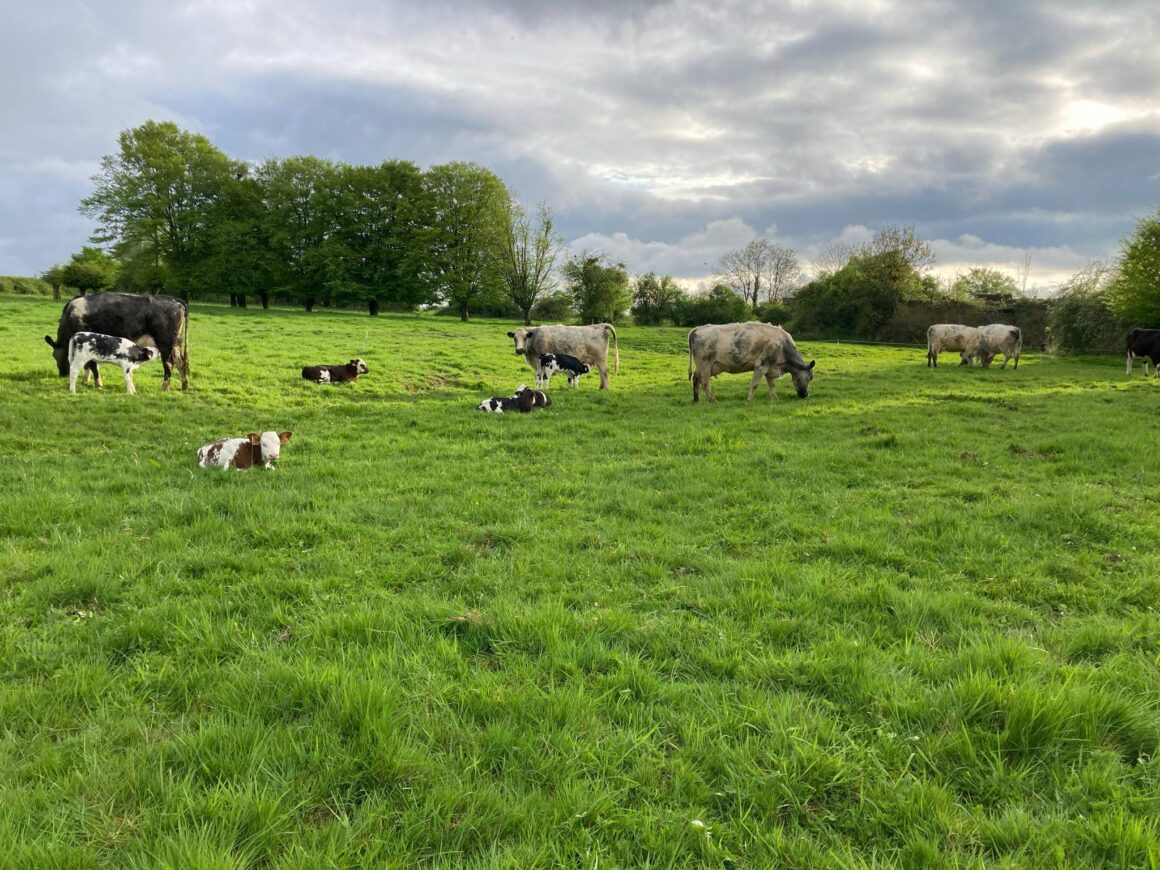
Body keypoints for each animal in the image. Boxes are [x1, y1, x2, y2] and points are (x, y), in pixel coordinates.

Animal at [45, 292, 189, 391]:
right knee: (181, 362)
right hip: (176, 344)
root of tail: (173, 299)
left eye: (54, 356)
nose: (62, 374)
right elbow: (89, 365)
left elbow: (93, 365)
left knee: (169, 364)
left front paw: (98, 383)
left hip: (165, 344)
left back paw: (164, 387)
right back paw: (184, 385)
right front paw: (86, 380)